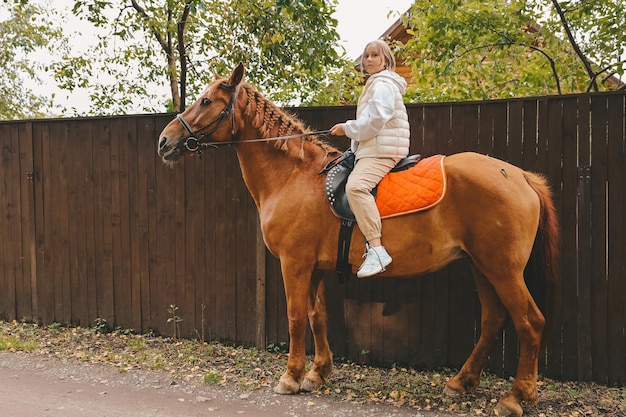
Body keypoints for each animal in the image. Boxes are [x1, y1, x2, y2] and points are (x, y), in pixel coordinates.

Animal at [158, 62, 560, 416]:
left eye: (206, 101)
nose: (164, 141)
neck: (295, 176)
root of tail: (522, 176)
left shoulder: (295, 263)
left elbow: (295, 317)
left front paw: (291, 376)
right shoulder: (315, 267)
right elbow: (316, 316)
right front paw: (317, 373)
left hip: (503, 270)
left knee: (531, 322)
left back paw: (516, 396)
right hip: (481, 266)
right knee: (494, 320)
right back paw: (462, 382)